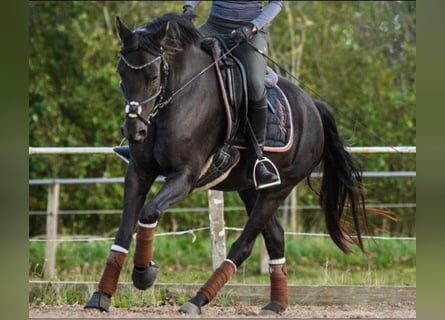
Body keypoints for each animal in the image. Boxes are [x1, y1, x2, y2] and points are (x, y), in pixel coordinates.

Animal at [85, 13, 366, 316]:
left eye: (153, 76)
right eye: (121, 73)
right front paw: (101, 296)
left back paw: (197, 300)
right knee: (275, 236)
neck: (177, 96)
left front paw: (144, 273)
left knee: (244, 245)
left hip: (278, 189)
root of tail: (312, 106)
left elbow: (148, 213)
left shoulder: (184, 176)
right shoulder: (139, 172)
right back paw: (276, 304)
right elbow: (124, 231)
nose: (133, 131)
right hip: (249, 188)